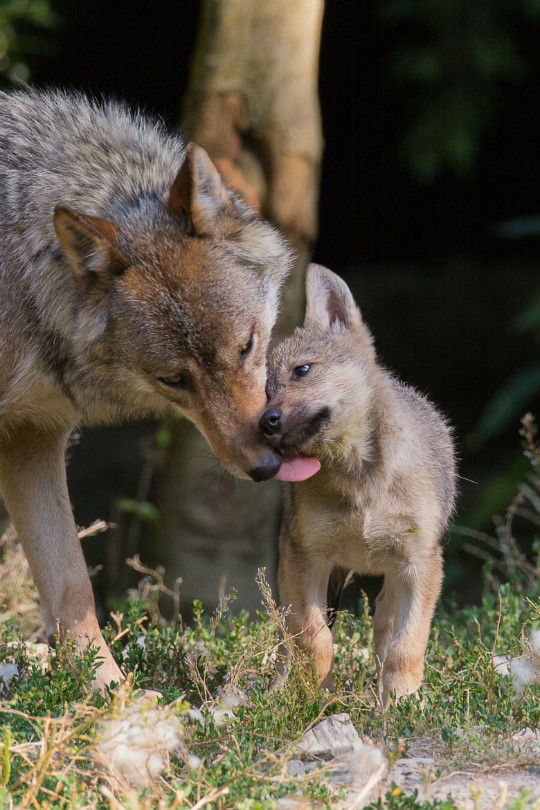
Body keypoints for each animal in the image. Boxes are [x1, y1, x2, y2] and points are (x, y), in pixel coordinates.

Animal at [0, 90, 296, 688]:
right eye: (174, 380)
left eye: (246, 347)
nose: (266, 468)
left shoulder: (29, 436)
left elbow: (72, 587)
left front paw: (108, 693)